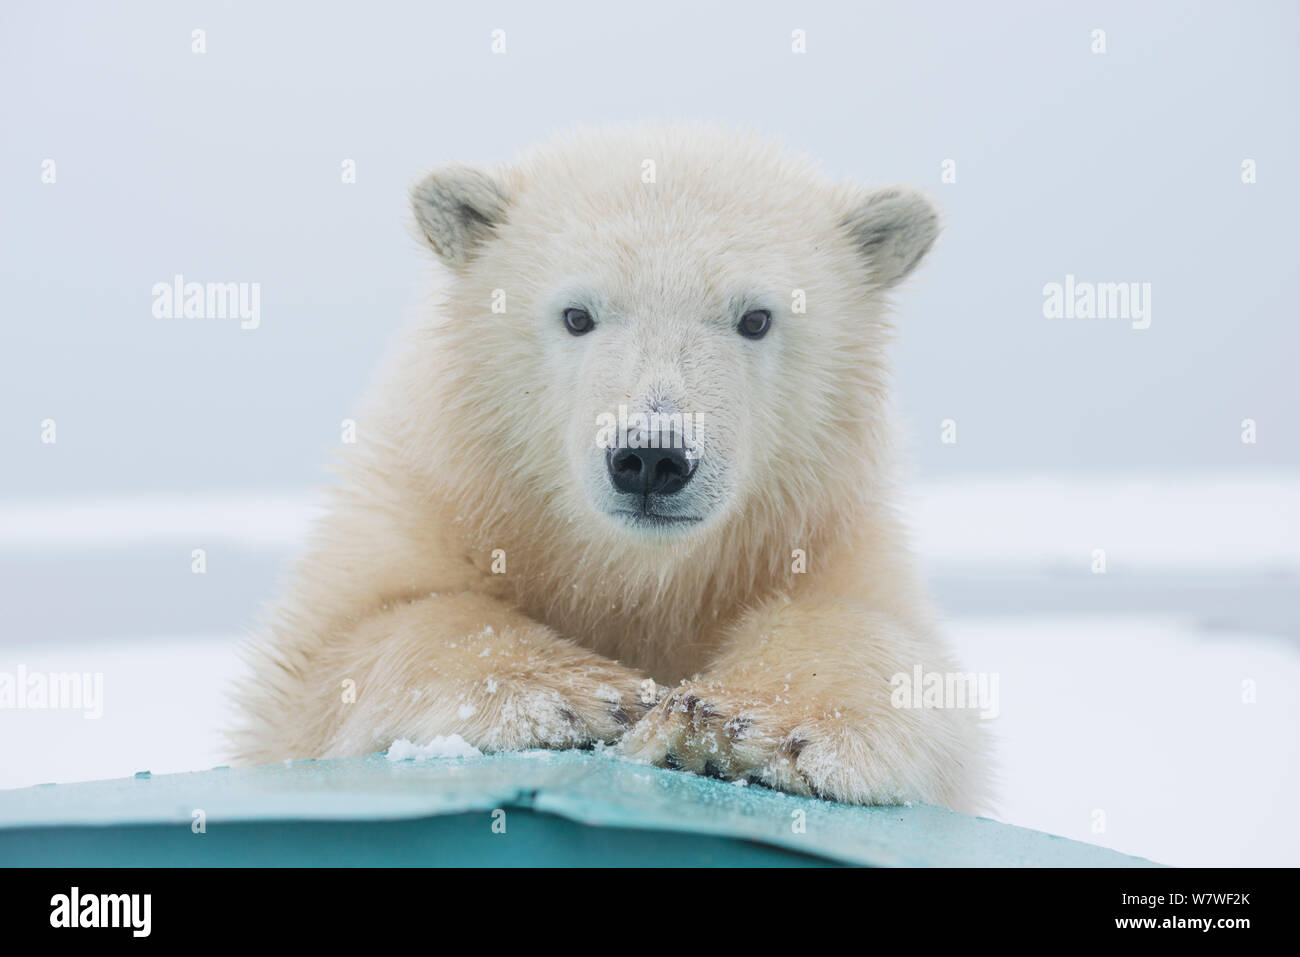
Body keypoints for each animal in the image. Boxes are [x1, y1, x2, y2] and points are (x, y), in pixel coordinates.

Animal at [231, 125, 982, 816]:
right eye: (577, 315)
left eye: (757, 318)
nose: (651, 455)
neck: (637, 575)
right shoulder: (428, 503)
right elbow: (348, 646)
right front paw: (587, 695)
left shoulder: (826, 538)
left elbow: (883, 649)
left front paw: (738, 723)